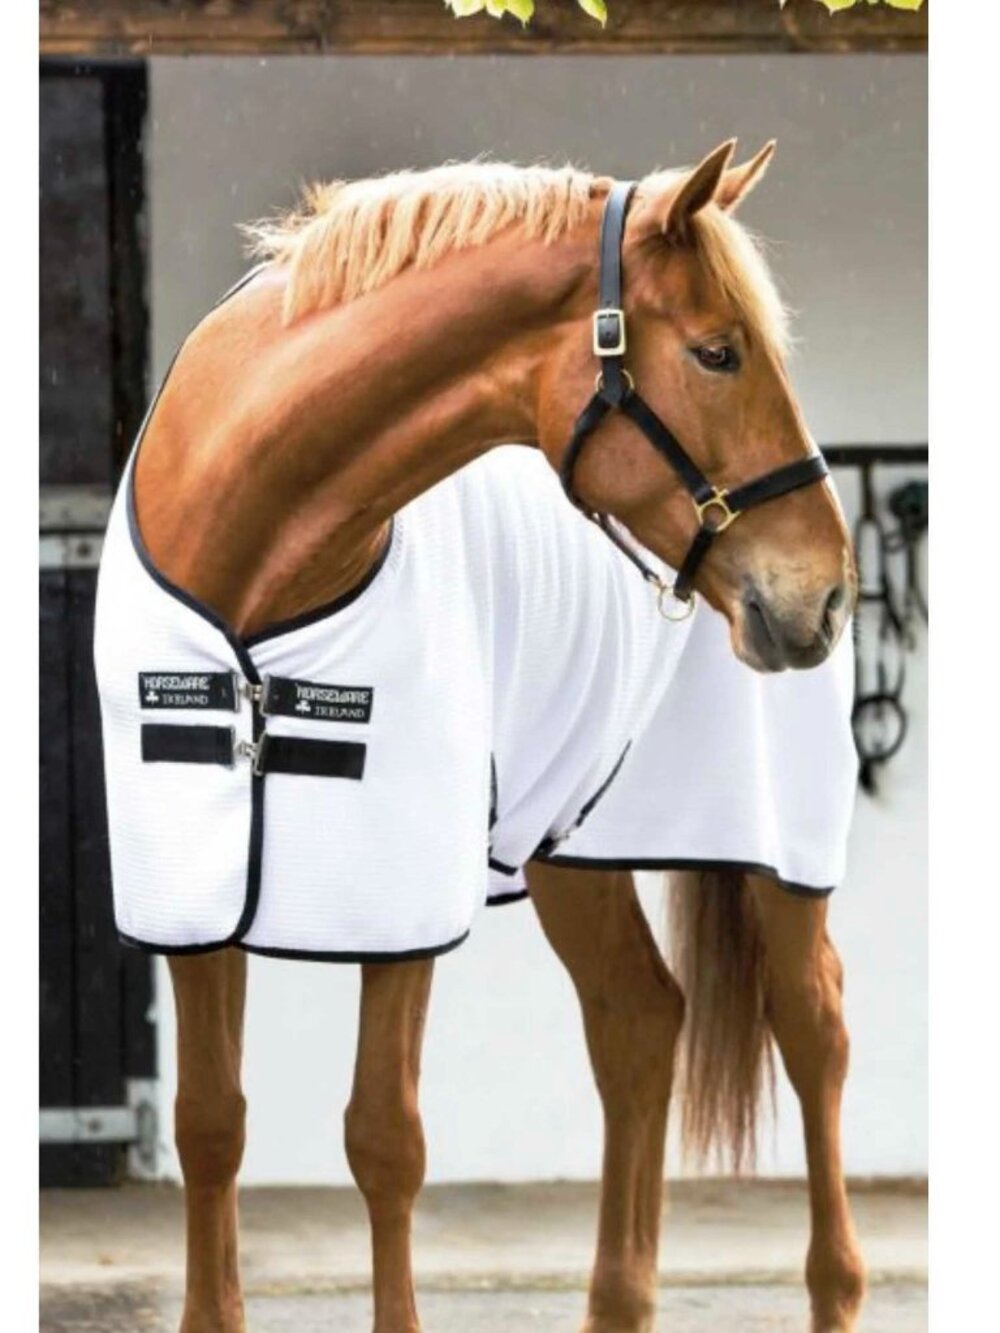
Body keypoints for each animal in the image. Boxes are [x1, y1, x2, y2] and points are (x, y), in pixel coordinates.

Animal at [94, 142, 865, 1332]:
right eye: (717, 351)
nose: (822, 594)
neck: (250, 553)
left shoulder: (399, 901)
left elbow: (384, 1140)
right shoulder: (194, 892)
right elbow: (210, 1123)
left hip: (776, 848)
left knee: (812, 1027)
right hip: (571, 849)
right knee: (639, 1023)